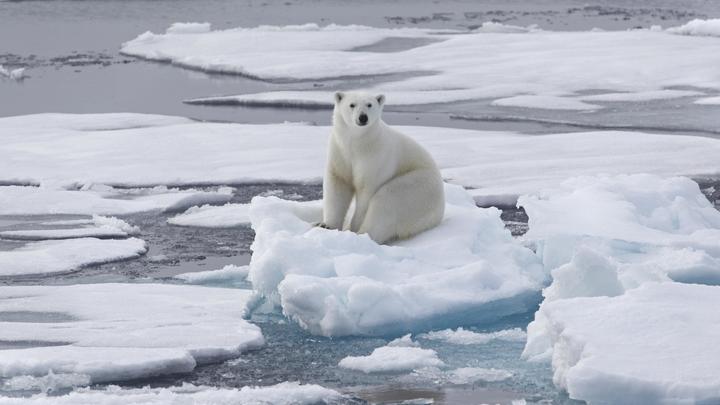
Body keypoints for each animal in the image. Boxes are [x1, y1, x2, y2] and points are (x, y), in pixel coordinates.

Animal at [320, 90, 444, 243]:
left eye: (369, 104)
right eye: (352, 105)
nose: (363, 117)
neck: (357, 144)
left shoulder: (374, 158)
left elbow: (366, 191)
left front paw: (354, 227)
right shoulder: (340, 152)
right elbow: (338, 184)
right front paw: (327, 225)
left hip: (418, 189)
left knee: (387, 200)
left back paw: (363, 234)